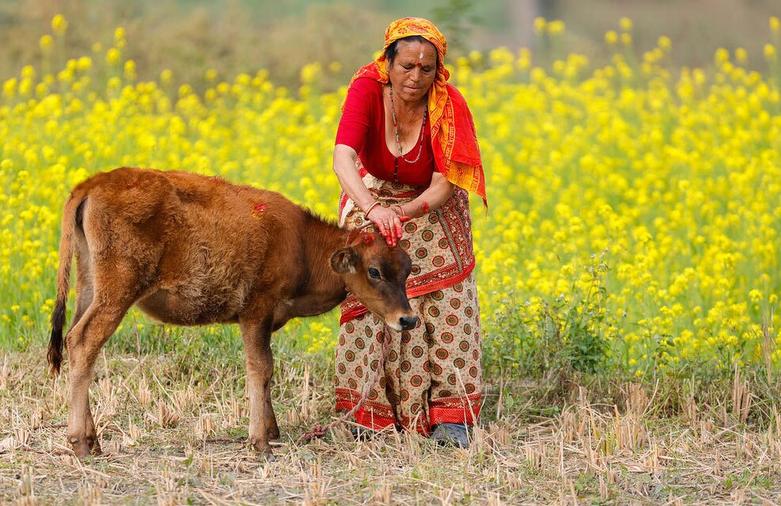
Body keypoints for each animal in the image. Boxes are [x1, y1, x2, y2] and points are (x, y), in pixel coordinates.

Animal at [45, 169, 418, 458]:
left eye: (407, 269)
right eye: (374, 271)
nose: (407, 318)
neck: (300, 242)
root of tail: (92, 184)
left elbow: (267, 369)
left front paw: (272, 430)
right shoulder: (256, 312)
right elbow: (260, 368)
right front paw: (260, 442)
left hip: (89, 288)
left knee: (75, 341)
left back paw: (92, 440)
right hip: (116, 296)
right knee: (83, 343)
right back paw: (81, 443)